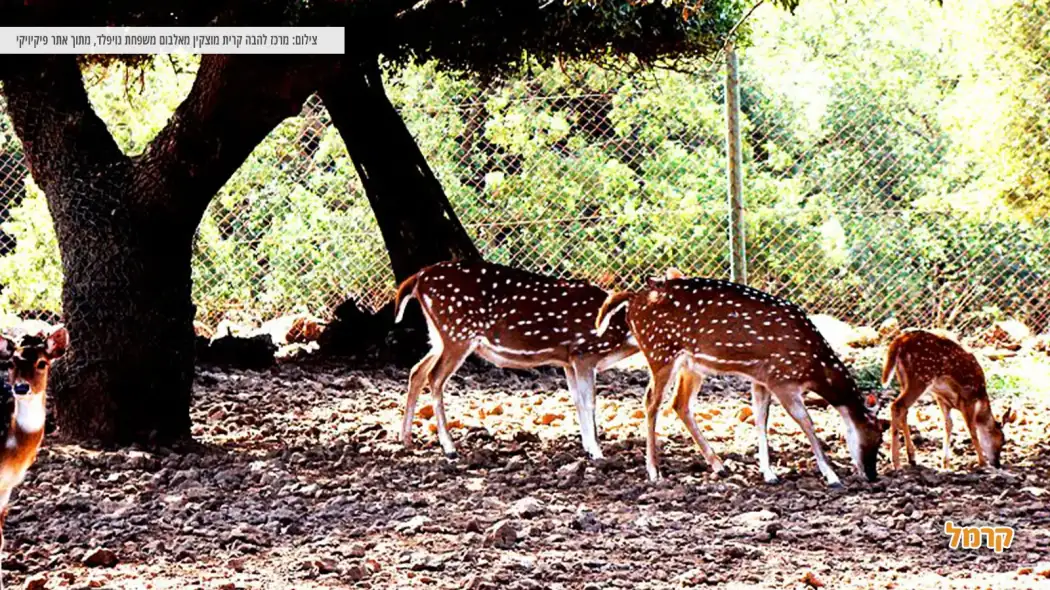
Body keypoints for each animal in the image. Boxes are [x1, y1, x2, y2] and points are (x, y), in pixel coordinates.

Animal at [394, 260, 638, 459]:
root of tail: (418, 278)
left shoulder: (568, 360)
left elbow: (577, 400)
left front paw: (588, 447)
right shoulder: (584, 352)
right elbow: (590, 402)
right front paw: (597, 453)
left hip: (439, 336)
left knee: (417, 370)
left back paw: (406, 439)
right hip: (457, 332)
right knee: (435, 377)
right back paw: (449, 447)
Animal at [596, 275, 881, 482]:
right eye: (876, 436)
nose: (872, 475)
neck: (815, 367)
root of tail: (632, 299)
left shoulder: (761, 378)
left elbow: (761, 419)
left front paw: (769, 473)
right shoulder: (782, 379)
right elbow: (806, 422)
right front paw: (831, 476)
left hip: (691, 365)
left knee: (680, 403)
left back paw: (719, 465)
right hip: (660, 351)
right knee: (651, 402)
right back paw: (654, 471)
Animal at [877, 331, 1016, 468]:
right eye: (1002, 440)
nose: (997, 463)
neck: (981, 399)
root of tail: (898, 341)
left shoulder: (942, 399)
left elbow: (948, 424)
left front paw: (945, 463)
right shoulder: (968, 398)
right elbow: (971, 429)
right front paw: (982, 462)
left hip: (903, 380)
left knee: (904, 410)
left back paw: (911, 457)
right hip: (920, 376)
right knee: (897, 405)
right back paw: (896, 462)